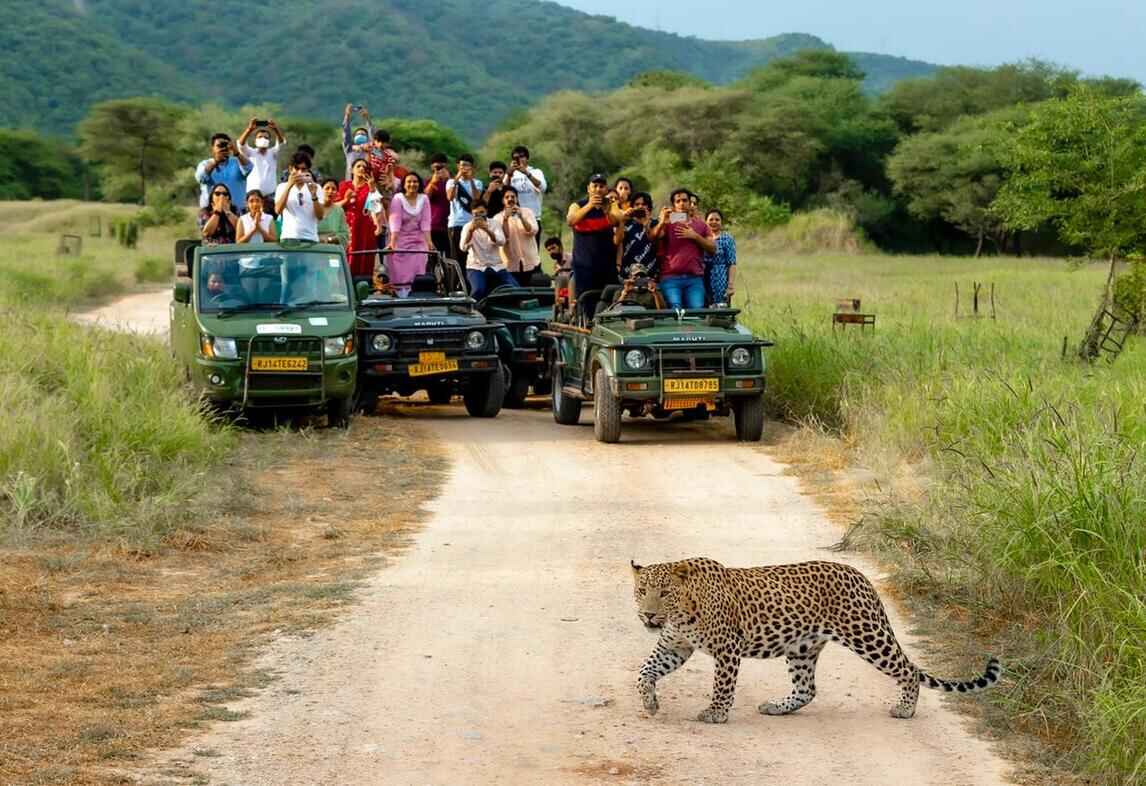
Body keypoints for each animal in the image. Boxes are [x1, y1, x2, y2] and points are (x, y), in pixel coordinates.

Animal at [632, 561, 999, 728]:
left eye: (664, 593)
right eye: (641, 591)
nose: (648, 615)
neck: (681, 613)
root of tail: (861, 576)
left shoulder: (727, 649)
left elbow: (722, 685)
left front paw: (716, 713)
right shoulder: (674, 647)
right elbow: (644, 672)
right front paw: (650, 702)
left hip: (867, 635)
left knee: (908, 669)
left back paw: (905, 709)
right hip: (802, 648)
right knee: (807, 689)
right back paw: (778, 706)